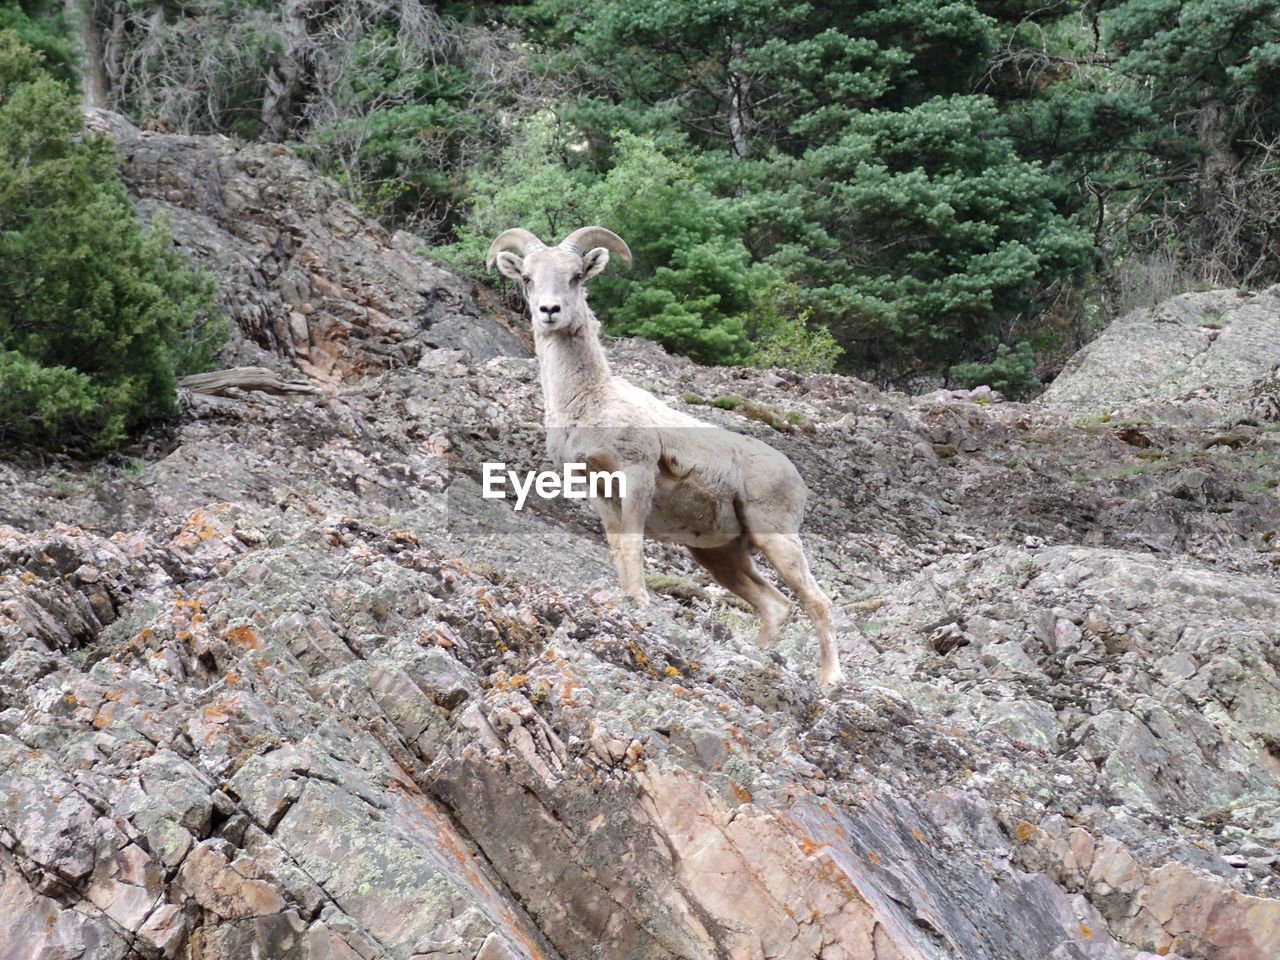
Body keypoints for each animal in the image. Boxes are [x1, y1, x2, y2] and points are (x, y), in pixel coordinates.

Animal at [483, 227, 844, 691]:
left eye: (577, 276)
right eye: (527, 278)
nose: (550, 311)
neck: (589, 401)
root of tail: (795, 479)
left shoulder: (635, 475)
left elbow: (633, 542)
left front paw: (638, 599)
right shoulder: (597, 489)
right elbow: (618, 546)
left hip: (776, 539)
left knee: (817, 602)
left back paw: (830, 680)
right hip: (720, 556)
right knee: (775, 606)